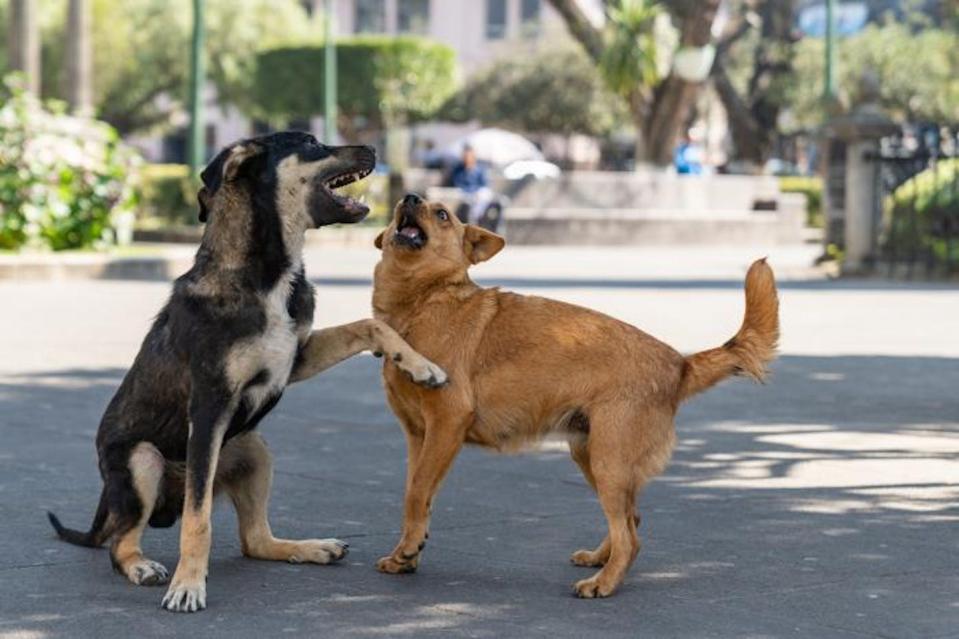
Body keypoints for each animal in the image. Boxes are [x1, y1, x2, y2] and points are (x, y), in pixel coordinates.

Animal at [46, 132, 446, 612]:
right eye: (310, 142)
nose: (371, 147)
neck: (265, 273)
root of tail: (109, 496)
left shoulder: (292, 358)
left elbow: (369, 325)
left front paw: (422, 366)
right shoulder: (210, 404)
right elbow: (198, 519)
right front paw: (188, 585)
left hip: (253, 447)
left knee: (254, 539)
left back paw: (308, 547)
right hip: (143, 459)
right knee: (121, 543)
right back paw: (141, 566)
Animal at [372, 194, 784, 600]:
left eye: (442, 214)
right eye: (405, 205)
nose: (409, 197)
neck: (425, 301)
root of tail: (679, 364)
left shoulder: (446, 425)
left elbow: (416, 492)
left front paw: (408, 550)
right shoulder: (420, 437)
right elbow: (417, 495)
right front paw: (406, 553)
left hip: (607, 462)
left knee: (630, 537)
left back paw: (604, 582)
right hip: (591, 456)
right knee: (632, 520)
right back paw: (600, 559)